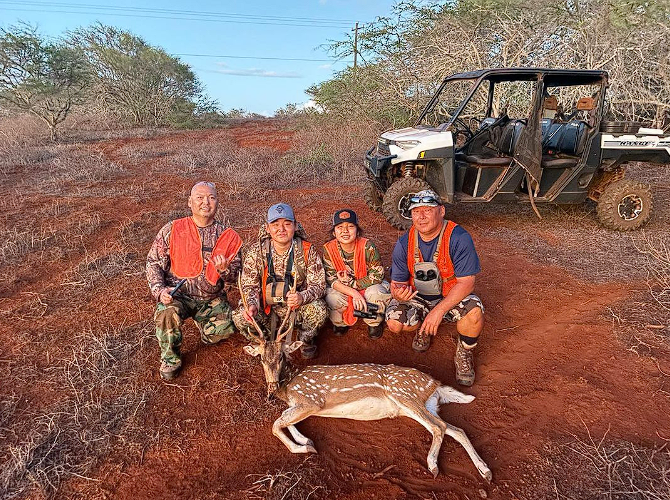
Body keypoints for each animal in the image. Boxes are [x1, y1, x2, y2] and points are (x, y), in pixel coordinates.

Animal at [238, 277, 492, 481]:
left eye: (282, 356)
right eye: (261, 358)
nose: (271, 389)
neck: (289, 386)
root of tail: (435, 384)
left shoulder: (311, 400)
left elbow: (276, 423)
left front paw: (305, 447)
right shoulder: (300, 404)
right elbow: (285, 420)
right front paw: (305, 440)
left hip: (404, 393)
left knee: (439, 427)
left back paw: (433, 466)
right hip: (422, 404)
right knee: (455, 429)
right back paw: (486, 471)